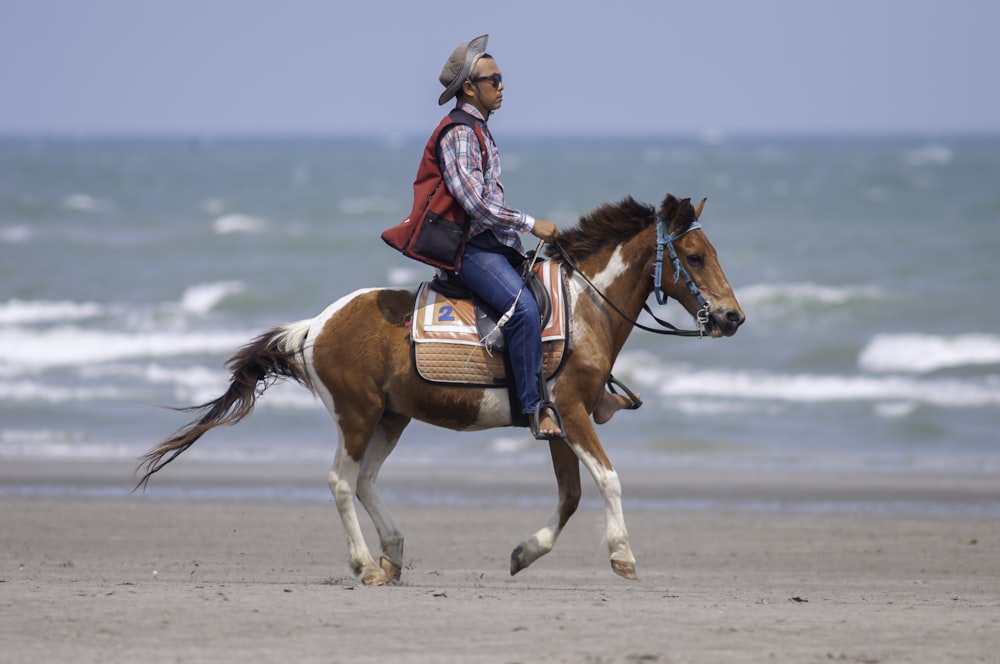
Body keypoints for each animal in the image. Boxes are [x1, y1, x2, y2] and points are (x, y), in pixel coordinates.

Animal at [139, 191, 744, 580]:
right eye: (694, 257)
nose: (733, 317)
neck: (582, 309)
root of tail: (316, 324)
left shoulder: (555, 423)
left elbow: (571, 495)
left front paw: (526, 551)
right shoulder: (571, 413)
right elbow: (609, 481)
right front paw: (622, 555)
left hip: (392, 417)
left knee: (365, 482)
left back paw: (393, 554)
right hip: (358, 416)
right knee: (341, 481)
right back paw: (365, 564)